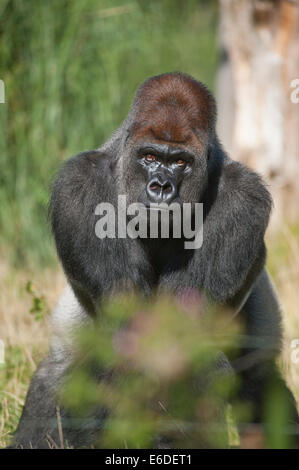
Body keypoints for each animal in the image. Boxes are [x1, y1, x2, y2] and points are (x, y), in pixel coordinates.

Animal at [10, 72, 298, 448]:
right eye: (149, 157)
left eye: (180, 162)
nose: (160, 187)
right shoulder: (79, 184)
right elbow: (129, 325)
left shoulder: (244, 197)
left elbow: (176, 335)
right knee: (58, 372)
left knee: (256, 377)